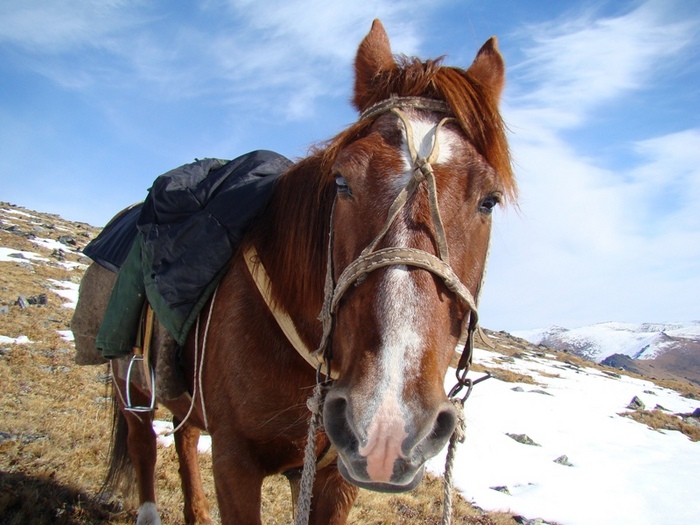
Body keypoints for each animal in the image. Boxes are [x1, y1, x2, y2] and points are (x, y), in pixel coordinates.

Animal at [97, 19, 516, 524]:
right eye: (342, 181)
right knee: (143, 445)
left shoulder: (334, 477)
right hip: (132, 383)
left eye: (489, 200)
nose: (388, 427)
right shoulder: (234, 462)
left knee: (185, 436)